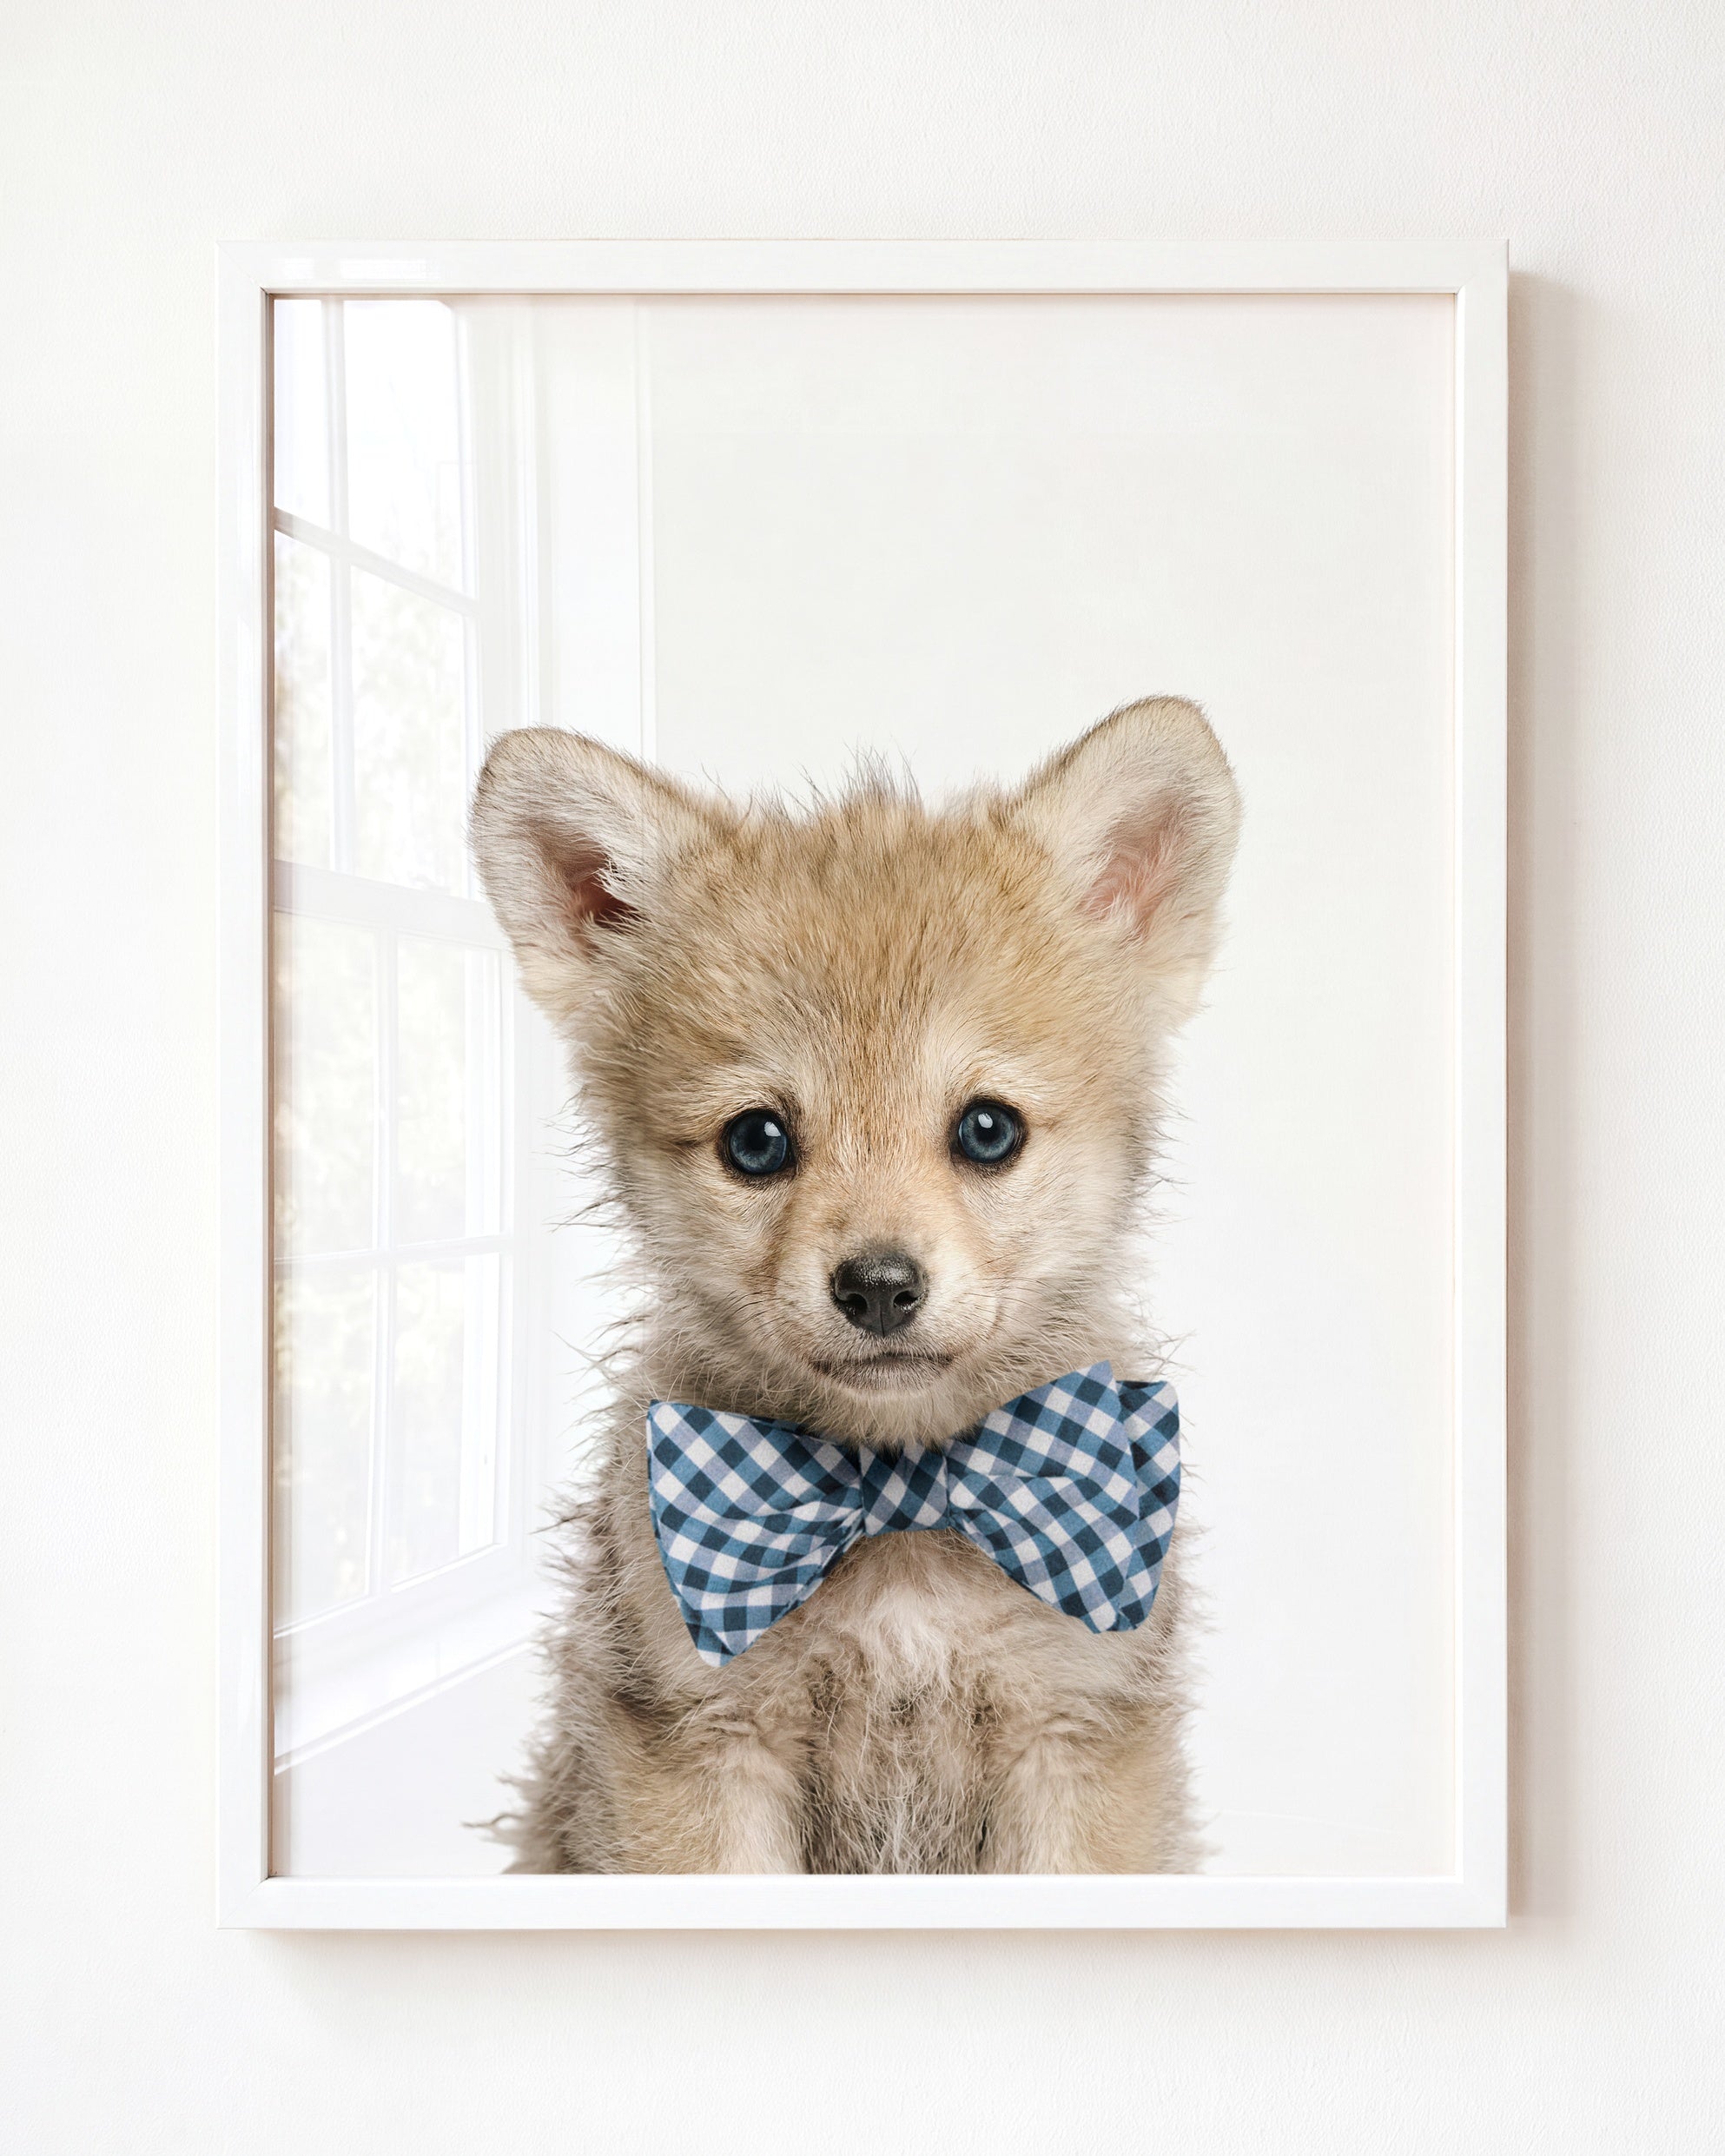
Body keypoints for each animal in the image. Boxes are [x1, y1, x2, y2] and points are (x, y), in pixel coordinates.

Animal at [470, 697, 1240, 1872]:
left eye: (988, 1129)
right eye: (756, 1141)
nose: (878, 1286)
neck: (902, 1505)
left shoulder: (1074, 1733)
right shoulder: (703, 1741)